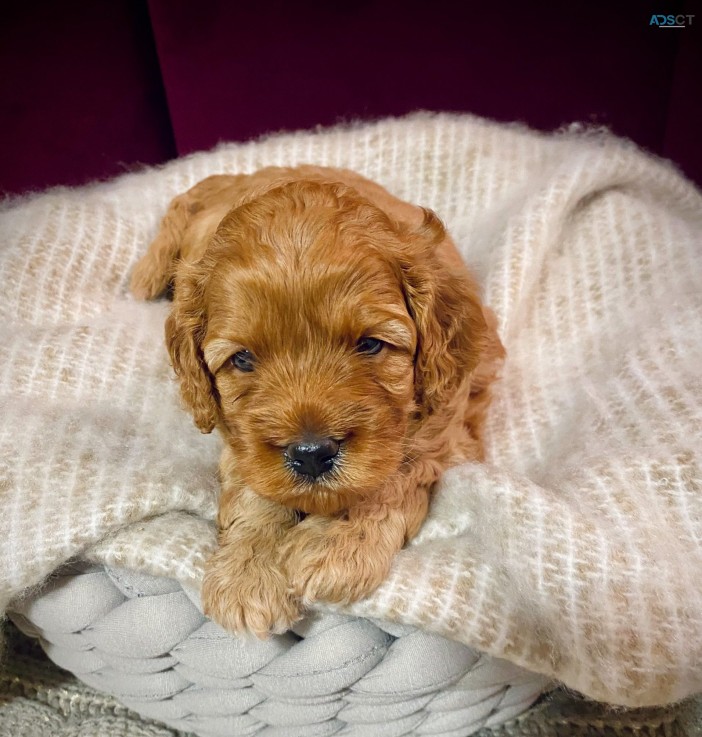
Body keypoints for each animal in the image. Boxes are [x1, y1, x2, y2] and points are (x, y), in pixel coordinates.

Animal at [132, 164, 506, 636]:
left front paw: (337, 541)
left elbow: (396, 473)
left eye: (370, 345)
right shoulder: (241, 442)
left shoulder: (448, 422)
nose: (311, 454)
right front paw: (248, 571)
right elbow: (255, 488)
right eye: (243, 359)